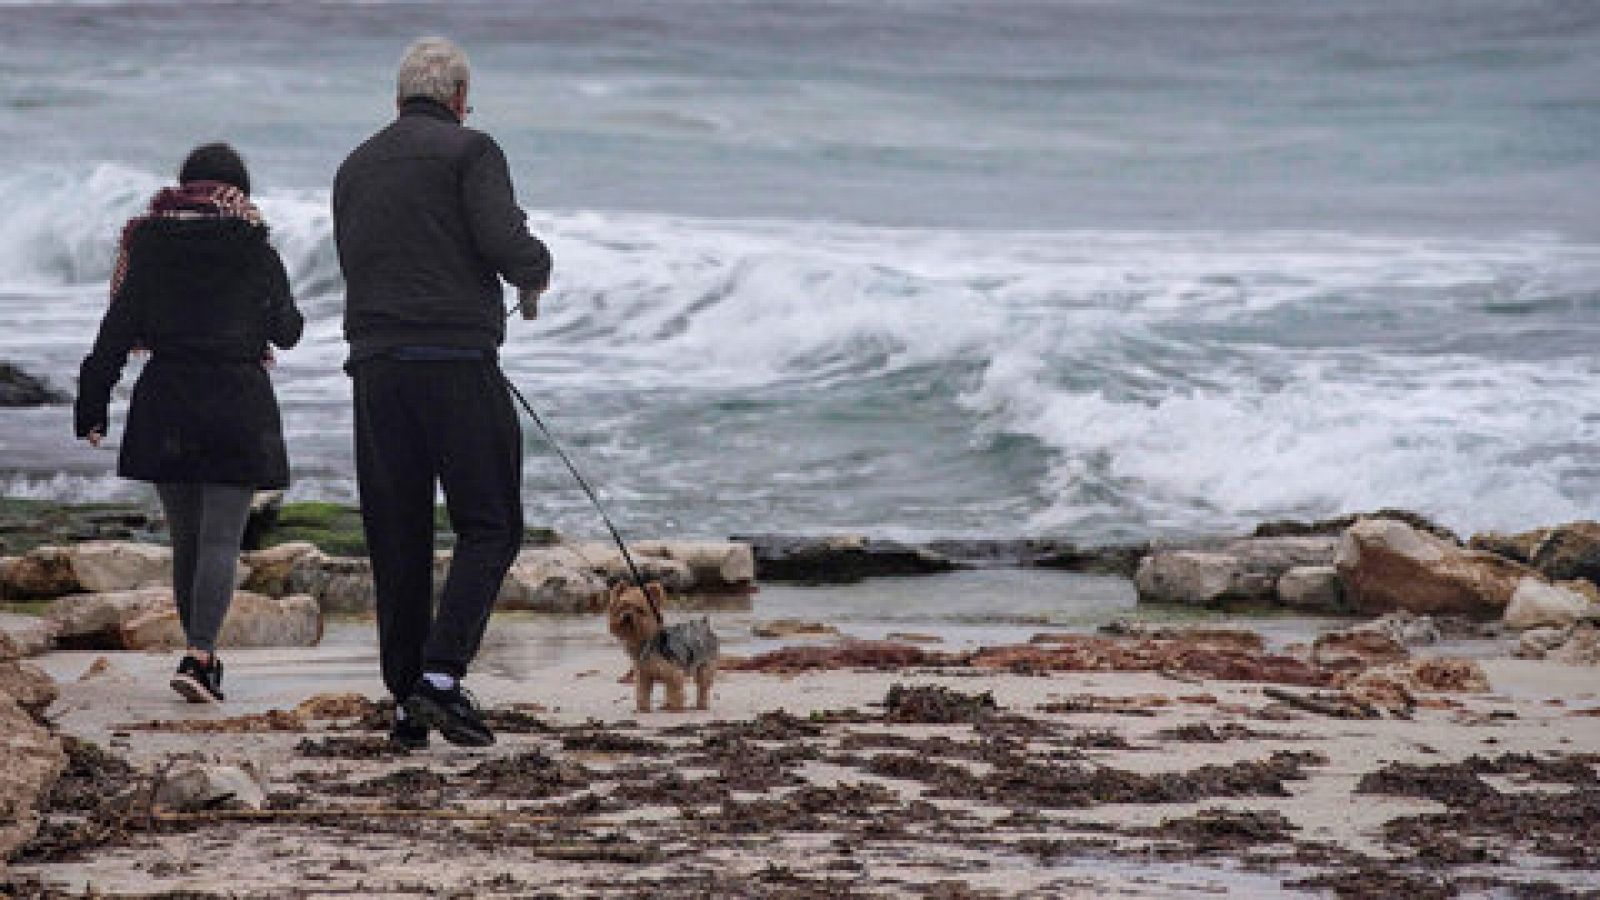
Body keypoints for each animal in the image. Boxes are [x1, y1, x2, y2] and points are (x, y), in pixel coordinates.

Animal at [604, 576, 720, 711]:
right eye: (622, 606)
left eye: (640, 610)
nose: (627, 616)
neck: (645, 642)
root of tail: (704, 624)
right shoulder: (644, 676)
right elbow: (642, 693)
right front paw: (643, 709)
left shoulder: (674, 673)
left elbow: (675, 693)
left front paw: (675, 709)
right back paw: (666, 705)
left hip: (705, 667)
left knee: (702, 687)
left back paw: (701, 705)